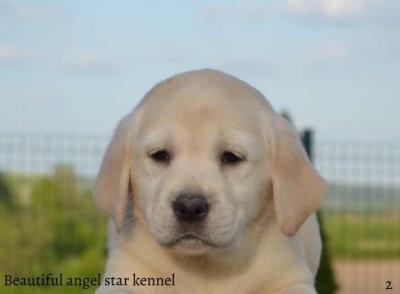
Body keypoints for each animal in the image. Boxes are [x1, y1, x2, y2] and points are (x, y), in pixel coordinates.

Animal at [94, 69, 324, 294]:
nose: (189, 207)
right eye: (159, 155)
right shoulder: (122, 276)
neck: (204, 266)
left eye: (231, 157)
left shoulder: (291, 279)